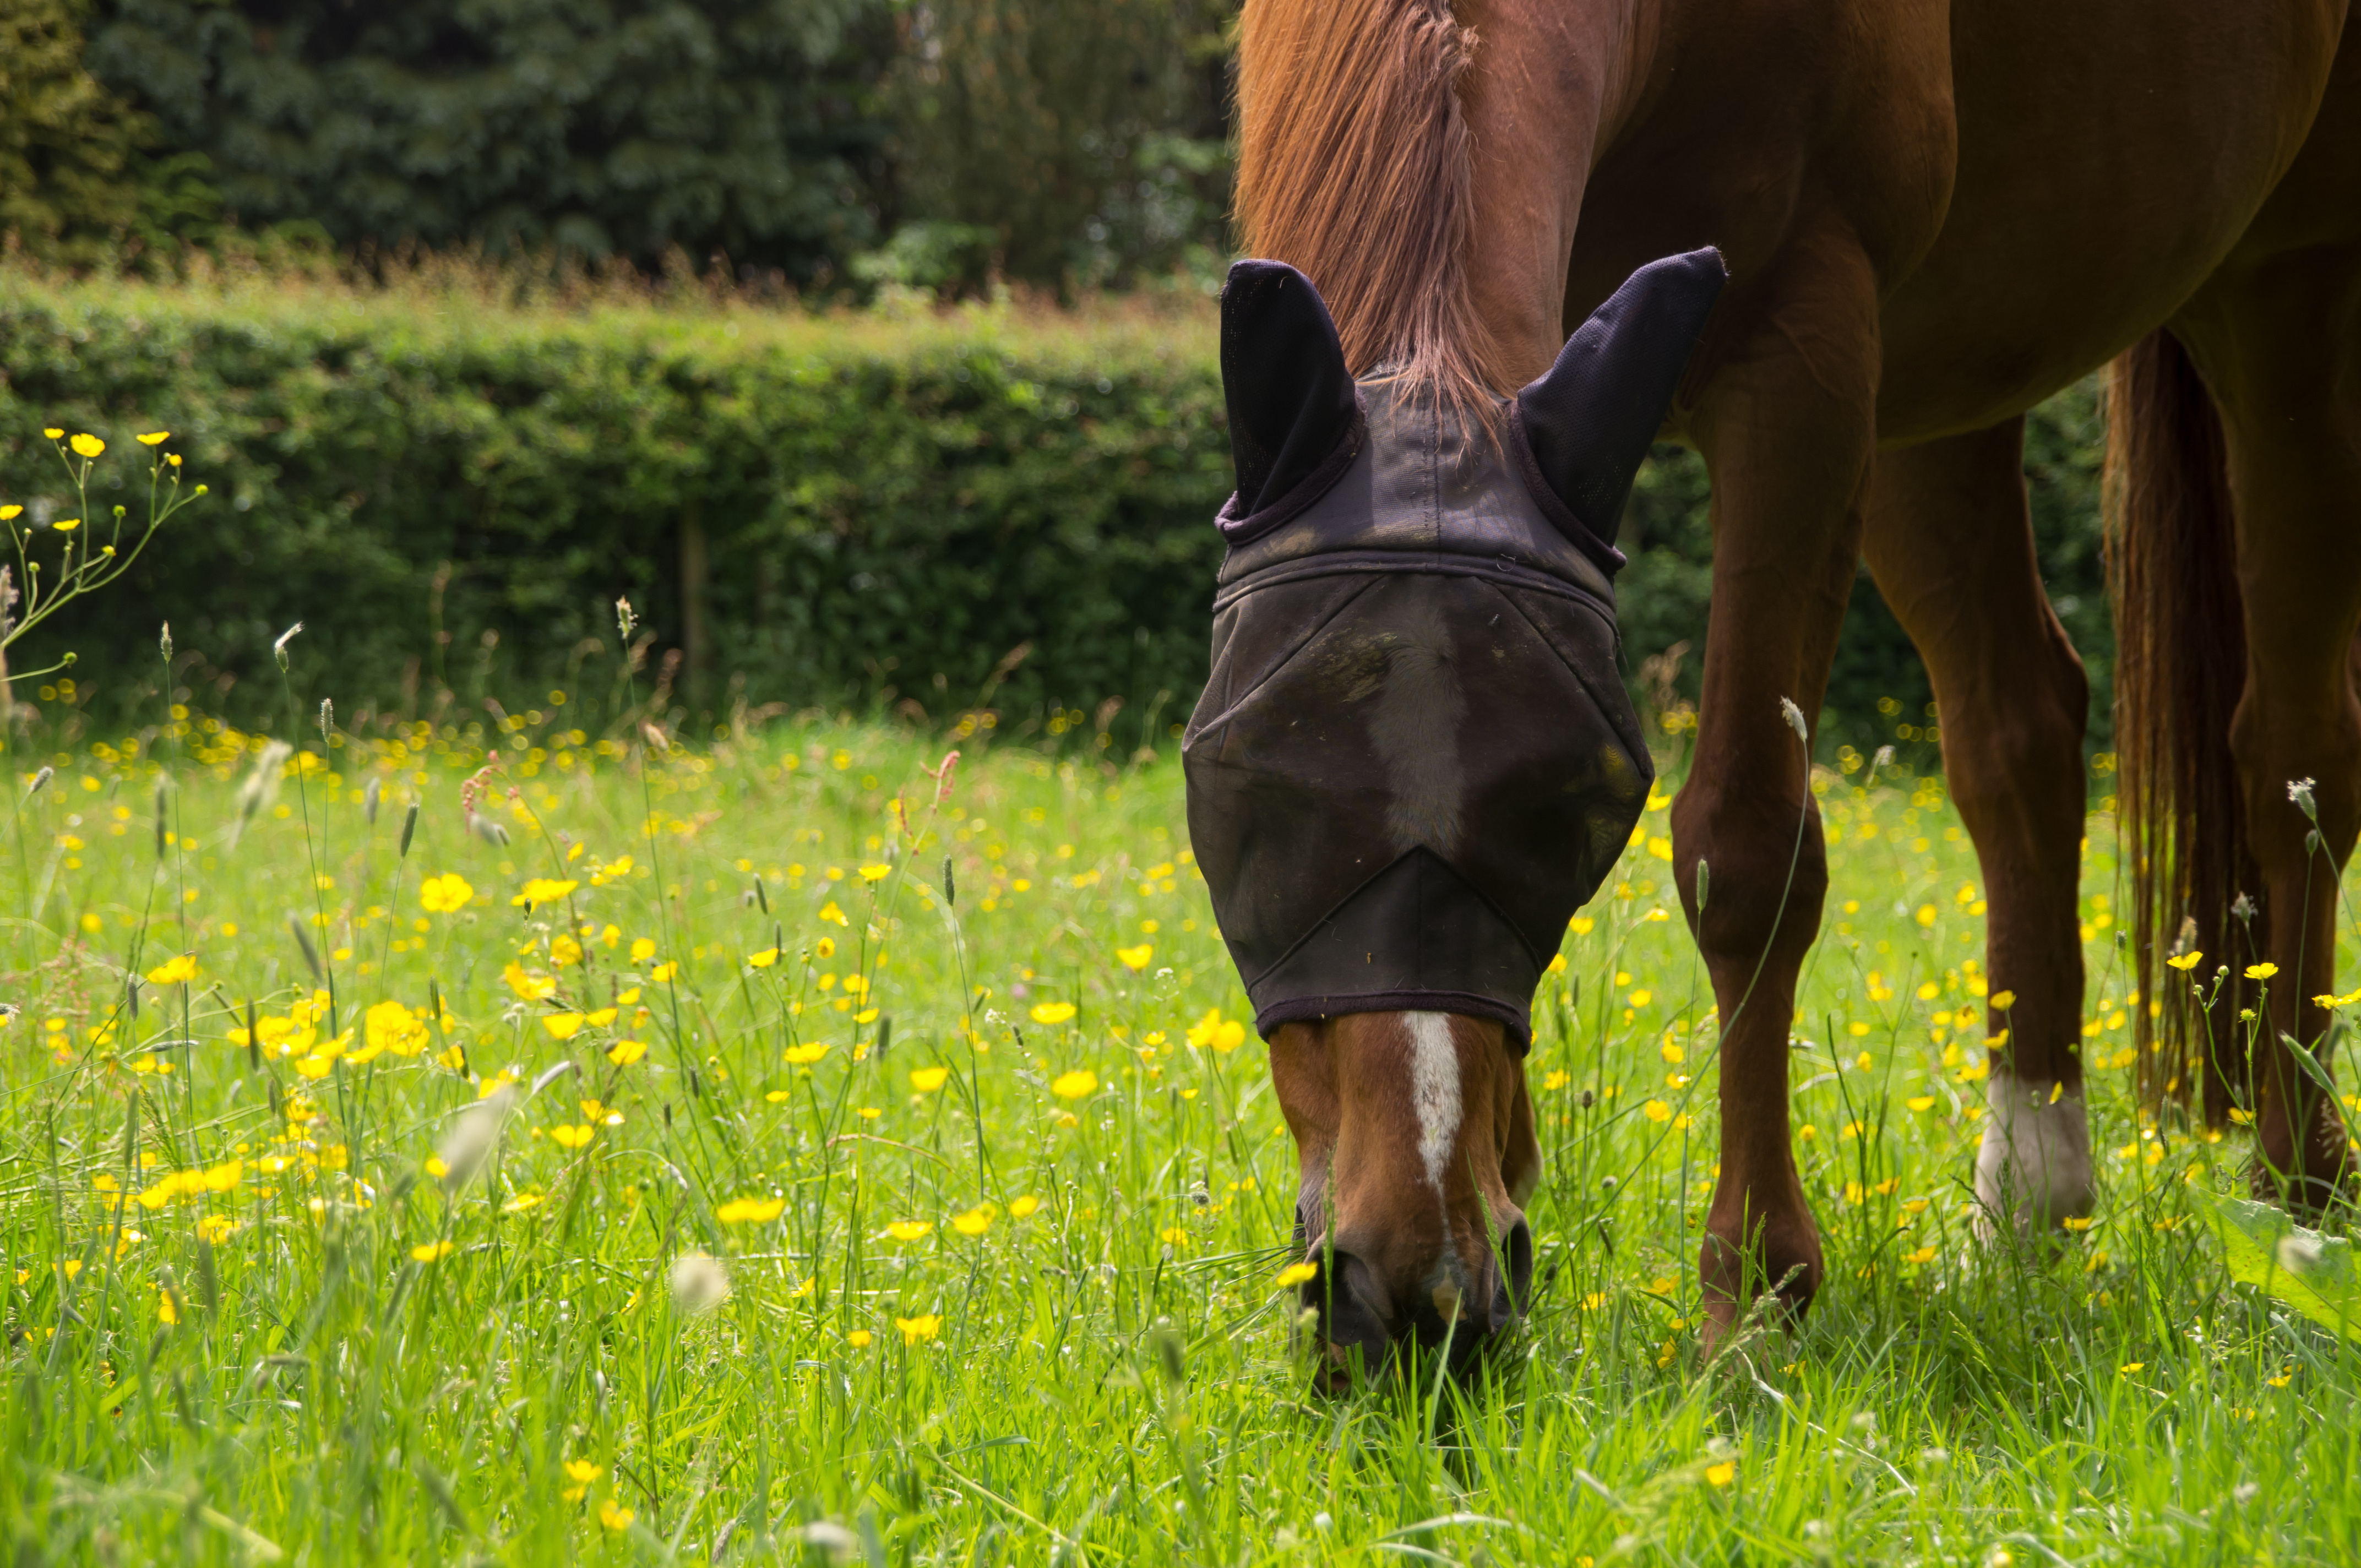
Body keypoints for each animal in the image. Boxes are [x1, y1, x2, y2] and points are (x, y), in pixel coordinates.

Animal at [1203, 0, 2361, 1376]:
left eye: (1571, 803)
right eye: (1244, 793)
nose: (1413, 1293)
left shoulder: (1800, 357)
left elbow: (1743, 850)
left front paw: (1751, 1291)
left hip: (2282, 293)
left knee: (2293, 755)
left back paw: (2297, 1197)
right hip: (1931, 391)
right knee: (2018, 734)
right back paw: (2032, 1193)